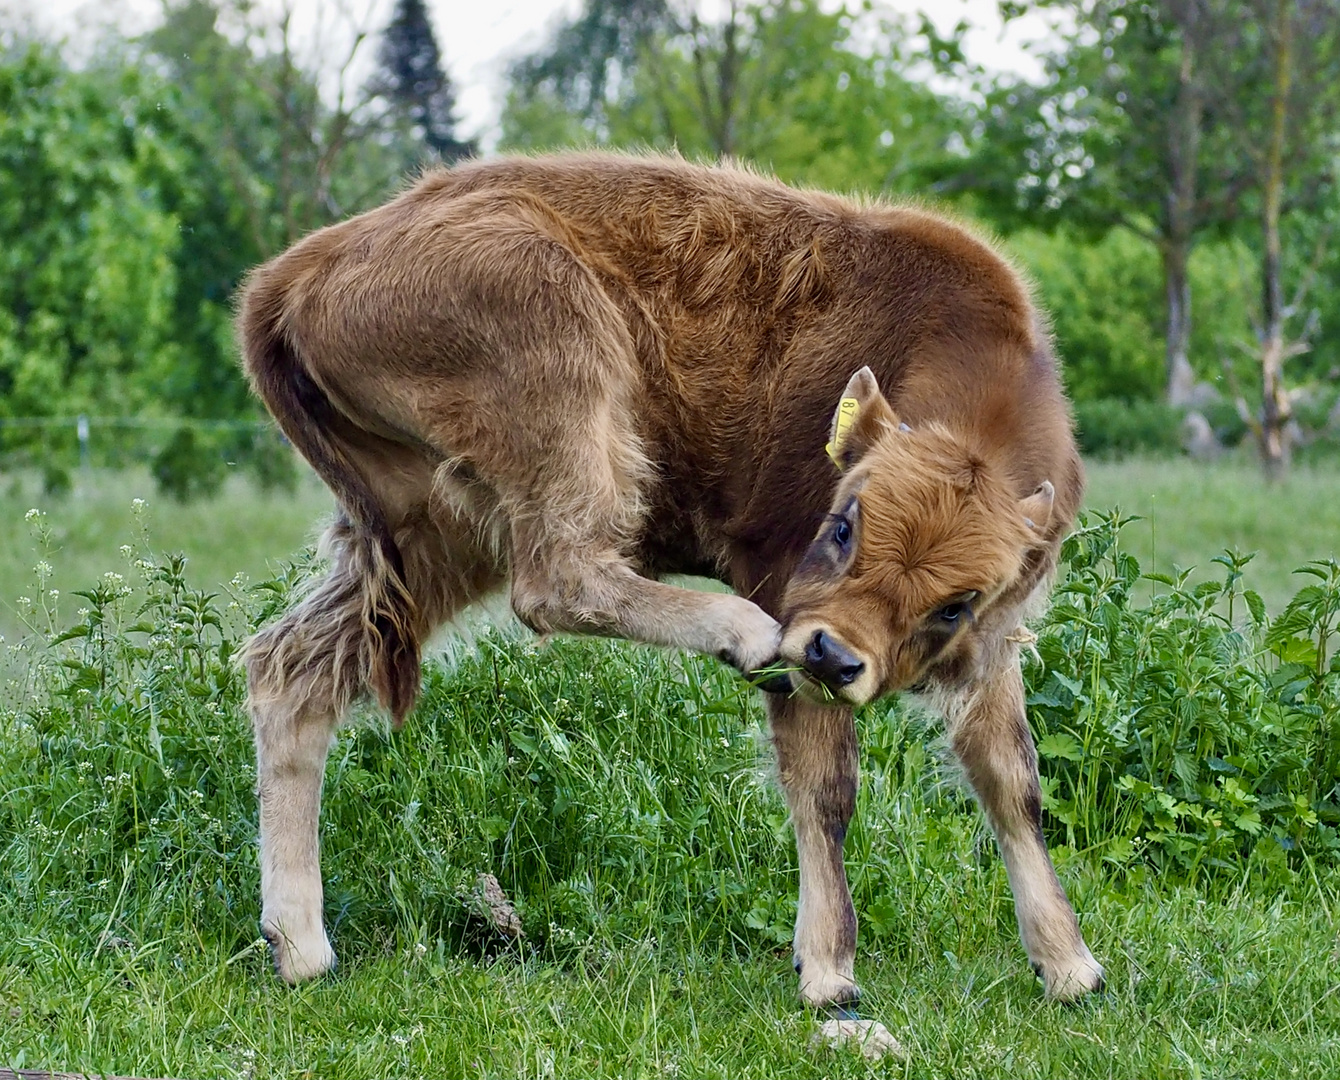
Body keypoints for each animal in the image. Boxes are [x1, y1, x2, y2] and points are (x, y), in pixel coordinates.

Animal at [238, 152, 1098, 1055]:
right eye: (842, 525)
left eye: (955, 605)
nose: (832, 654)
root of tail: (304, 266)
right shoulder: (786, 594)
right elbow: (827, 790)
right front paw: (830, 974)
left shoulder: (994, 645)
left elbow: (1012, 782)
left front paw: (1071, 965)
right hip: (562, 371)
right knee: (558, 580)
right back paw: (740, 633)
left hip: (439, 533)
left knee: (291, 671)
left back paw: (301, 946)